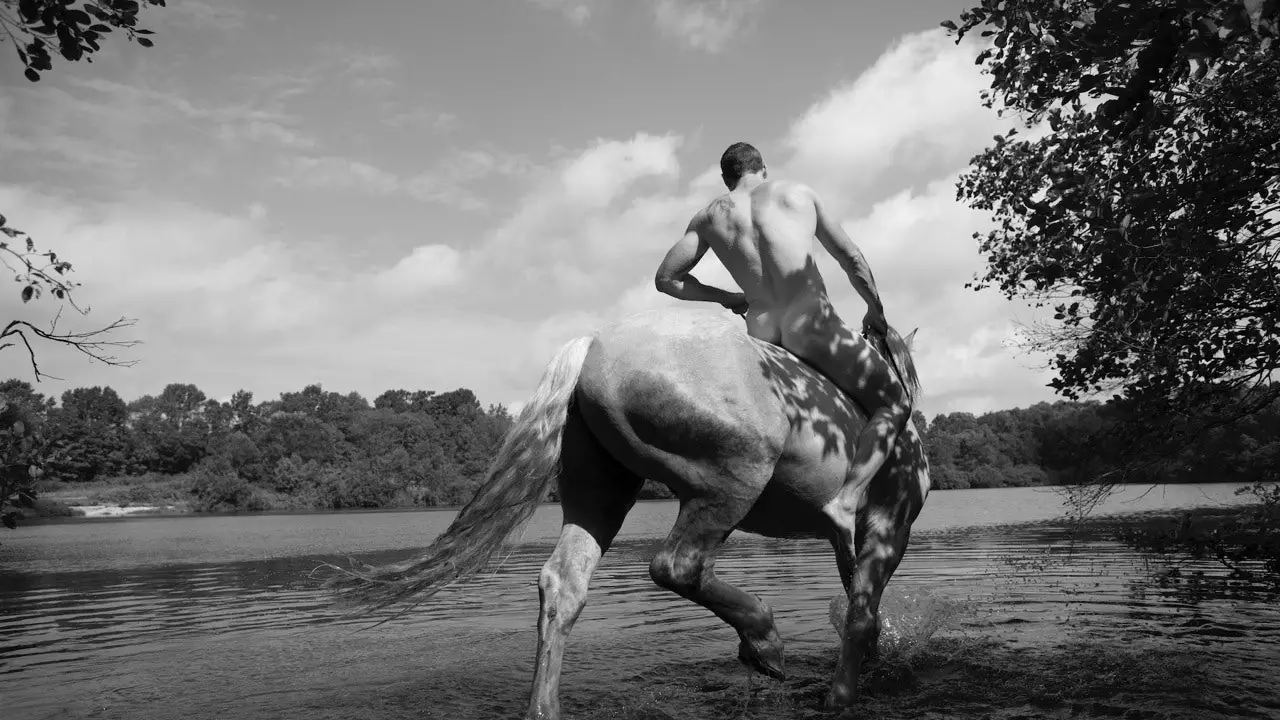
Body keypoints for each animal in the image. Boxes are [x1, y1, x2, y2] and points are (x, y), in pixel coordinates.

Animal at [327, 304, 931, 712]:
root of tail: (591, 344)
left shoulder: (848, 537)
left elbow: (857, 600)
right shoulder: (889, 527)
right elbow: (860, 612)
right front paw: (841, 695)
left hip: (604, 493)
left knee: (564, 583)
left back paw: (545, 707)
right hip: (733, 480)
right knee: (678, 565)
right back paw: (764, 641)